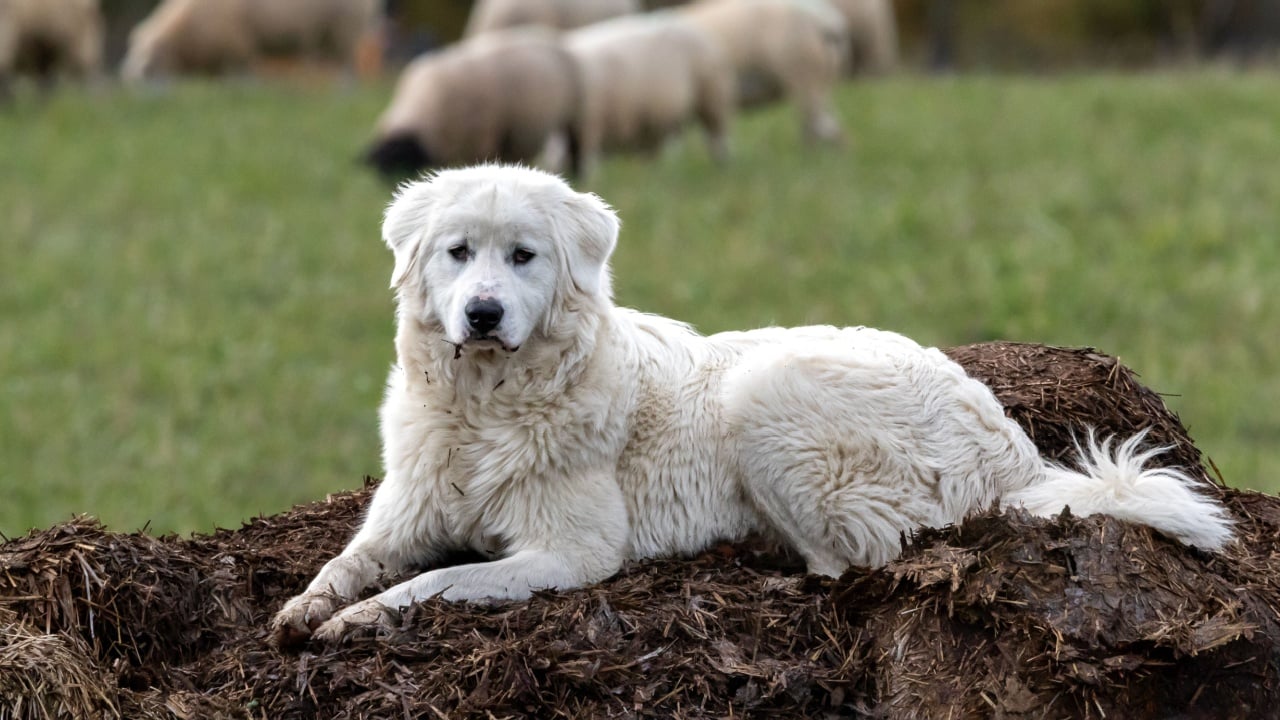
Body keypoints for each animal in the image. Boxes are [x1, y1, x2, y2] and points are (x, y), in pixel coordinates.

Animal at [121, 0, 383, 83]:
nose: (130, 78)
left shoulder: (238, 48)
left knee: (348, 67)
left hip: (346, 30)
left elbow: (243, 78)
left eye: (148, 57)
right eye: (130, 50)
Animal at [364, 28, 582, 180]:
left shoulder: (483, 135)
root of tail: (544, 34)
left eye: (400, 157)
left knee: (575, 148)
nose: (388, 186)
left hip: (575, 116)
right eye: (378, 164)